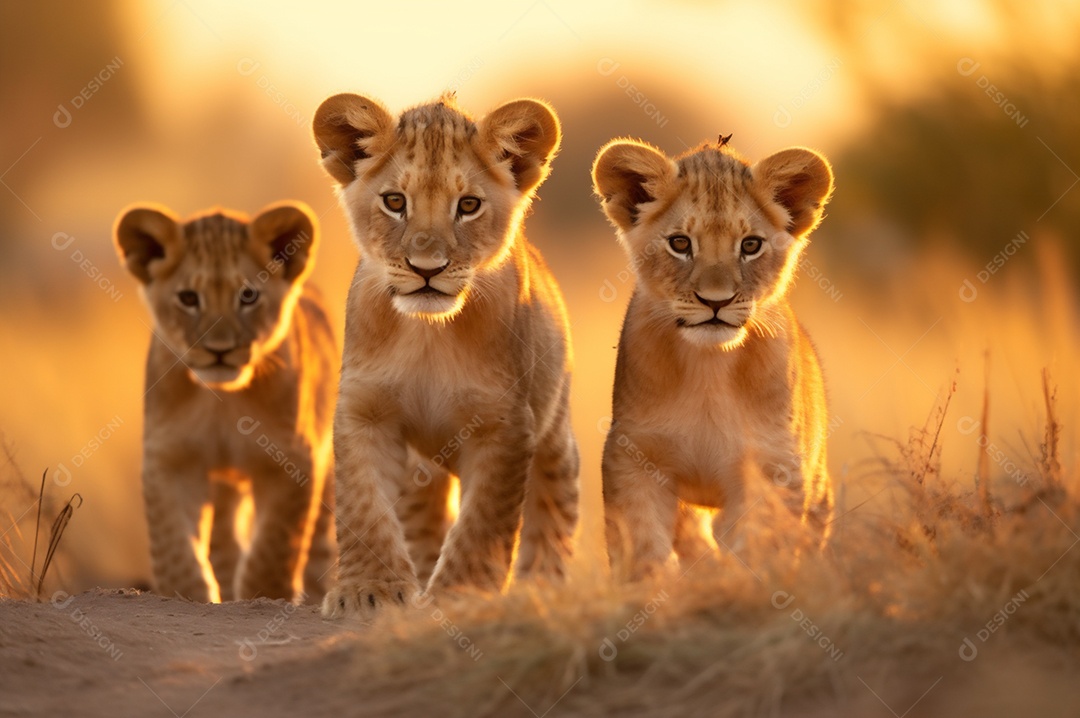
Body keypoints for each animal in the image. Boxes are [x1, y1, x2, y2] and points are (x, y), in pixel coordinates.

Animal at [113, 201, 337, 603]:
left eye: (248, 296)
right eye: (188, 298)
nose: (219, 350)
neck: (221, 402)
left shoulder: (293, 460)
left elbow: (273, 550)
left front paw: (265, 596)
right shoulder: (170, 458)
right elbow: (175, 553)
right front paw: (189, 596)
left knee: (318, 549)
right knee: (223, 540)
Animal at [312, 92, 579, 618]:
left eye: (468, 205)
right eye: (395, 202)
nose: (426, 269)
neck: (427, 334)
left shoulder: (505, 423)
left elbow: (484, 522)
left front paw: (462, 596)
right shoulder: (363, 410)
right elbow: (363, 504)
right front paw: (367, 590)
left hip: (556, 430)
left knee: (554, 506)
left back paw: (544, 587)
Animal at [591, 137, 835, 579]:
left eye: (750, 245)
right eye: (680, 243)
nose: (715, 301)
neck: (708, 367)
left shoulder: (775, 467)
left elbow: (761, 546)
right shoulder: (632, 455)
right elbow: (642, 545)